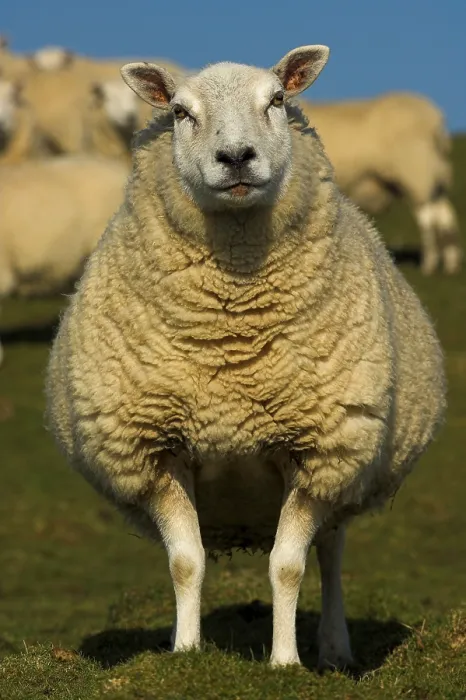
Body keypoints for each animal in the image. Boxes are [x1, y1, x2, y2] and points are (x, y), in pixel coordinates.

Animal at [45, 46, 446, 670]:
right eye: (180, 112)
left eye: (277, 100)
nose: (235, 157)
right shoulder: (157, 450)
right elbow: (186, 562)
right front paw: (185, 653)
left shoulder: (318, 451)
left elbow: (288, 567)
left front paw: (285, 663)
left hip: (346, 473)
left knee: (330, 553)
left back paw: (334, 648)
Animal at [300, 93, 462, 275]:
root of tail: (435, 118)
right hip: (436, 175)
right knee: (445, 214)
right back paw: (451, 261)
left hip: (417, 171)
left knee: (428, 218)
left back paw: (429, 263)